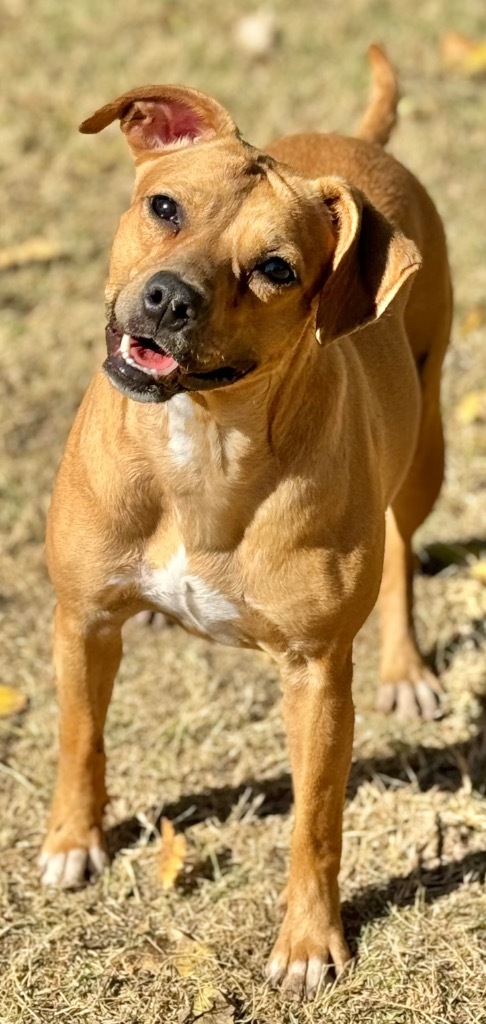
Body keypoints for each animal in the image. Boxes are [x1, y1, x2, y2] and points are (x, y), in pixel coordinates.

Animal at [40, 48, 452, 999]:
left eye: (276, 268)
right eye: (165, 207)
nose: (166, 299)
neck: (201, 444)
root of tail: (360, 140)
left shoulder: (316, 675)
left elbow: (316, 823)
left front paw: (307, 943)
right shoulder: (82, 616)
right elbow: (80, 736)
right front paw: (74, 841)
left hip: (427, 444)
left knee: (404, 549)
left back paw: (407, 667)